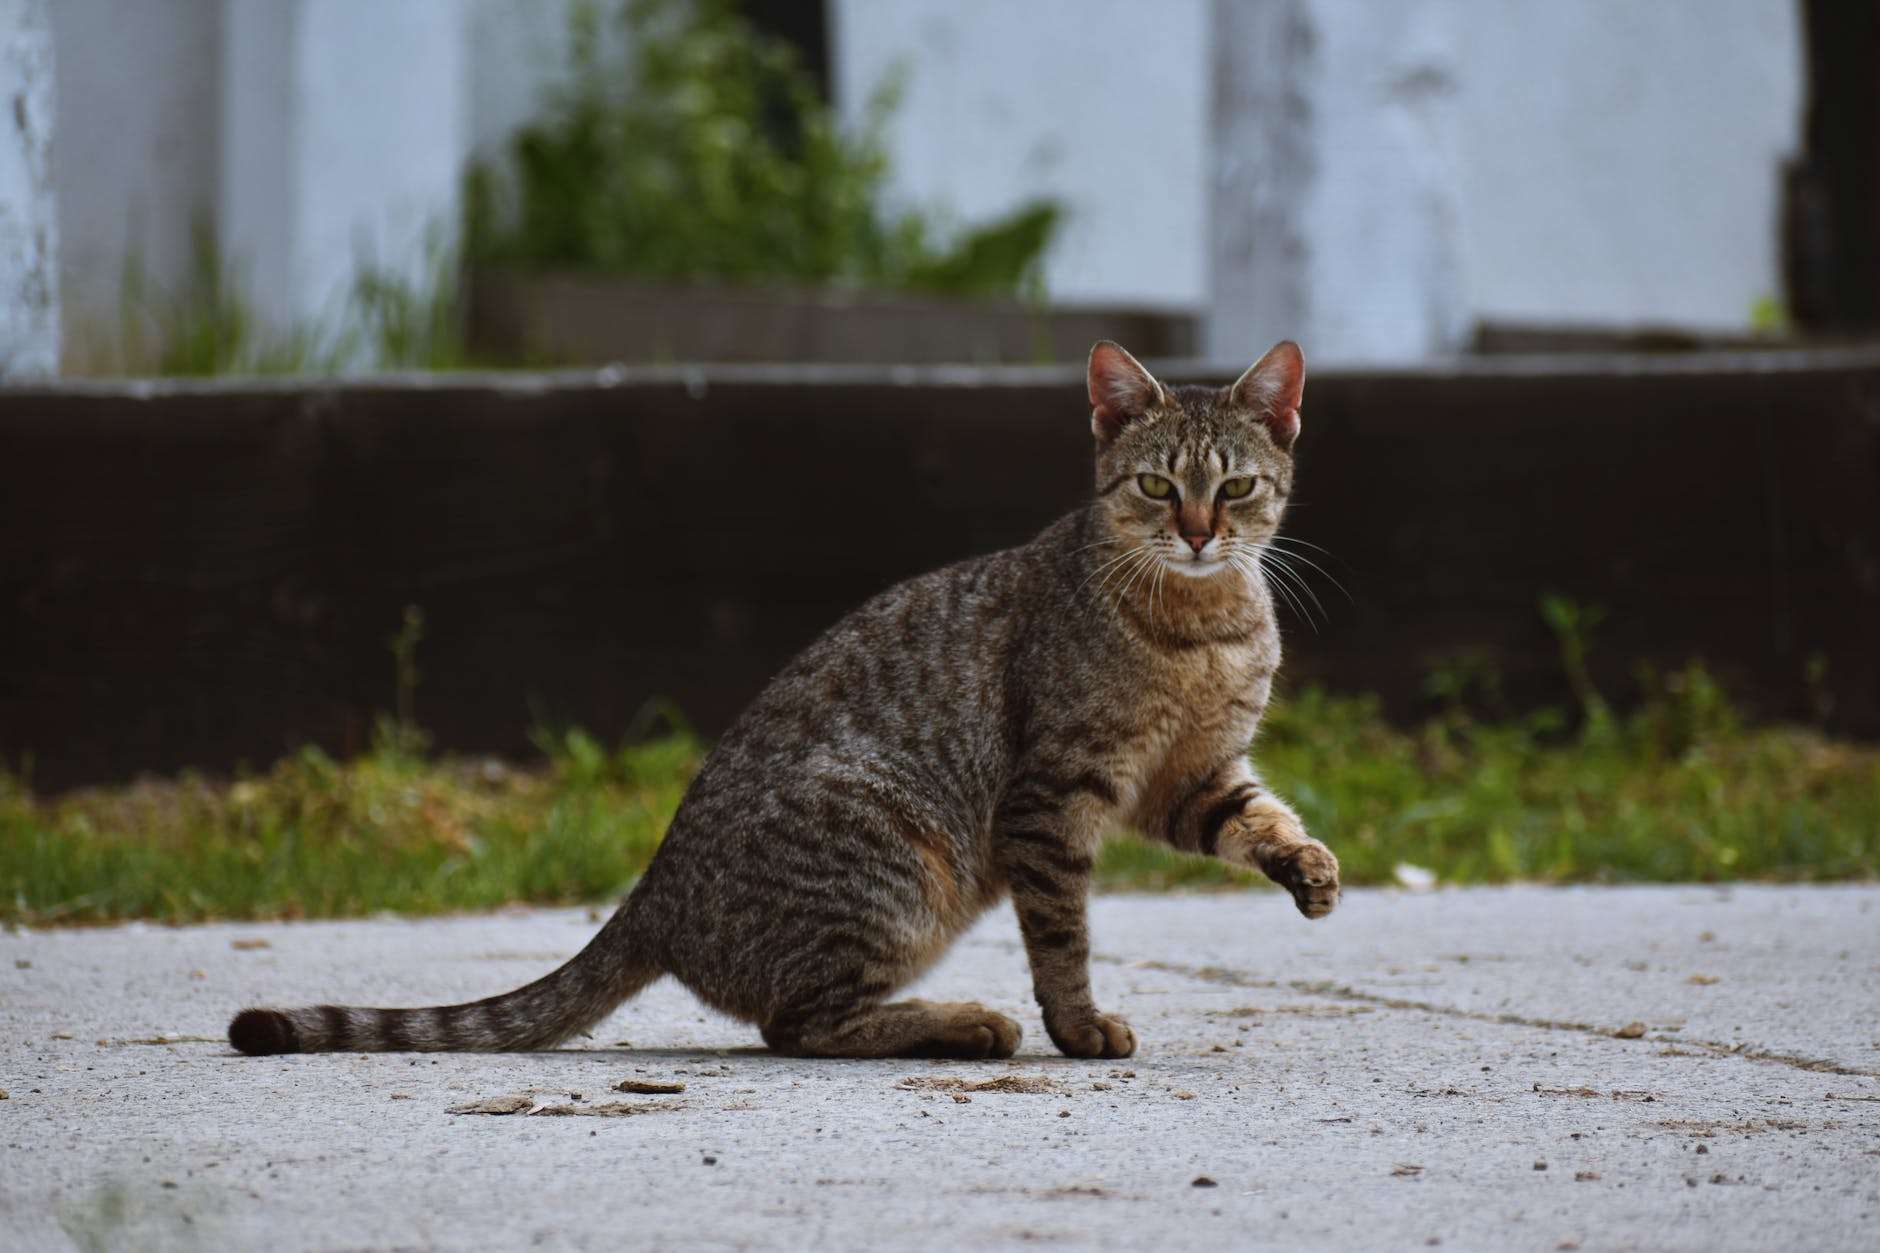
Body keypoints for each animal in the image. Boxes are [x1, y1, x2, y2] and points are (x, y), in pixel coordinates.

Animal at [231, 338, 1338, 1053]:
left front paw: (1308, 865)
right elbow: (1062, 935)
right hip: (896, 858)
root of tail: (653, 891)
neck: (1202, 626)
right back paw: (964, 1024)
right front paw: (1075, 1026)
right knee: (796, 1024)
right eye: (1155, 487)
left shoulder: (1187, 775)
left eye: (1235, 488)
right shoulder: (1053, 794)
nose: (1196, 530)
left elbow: (1256, 817)